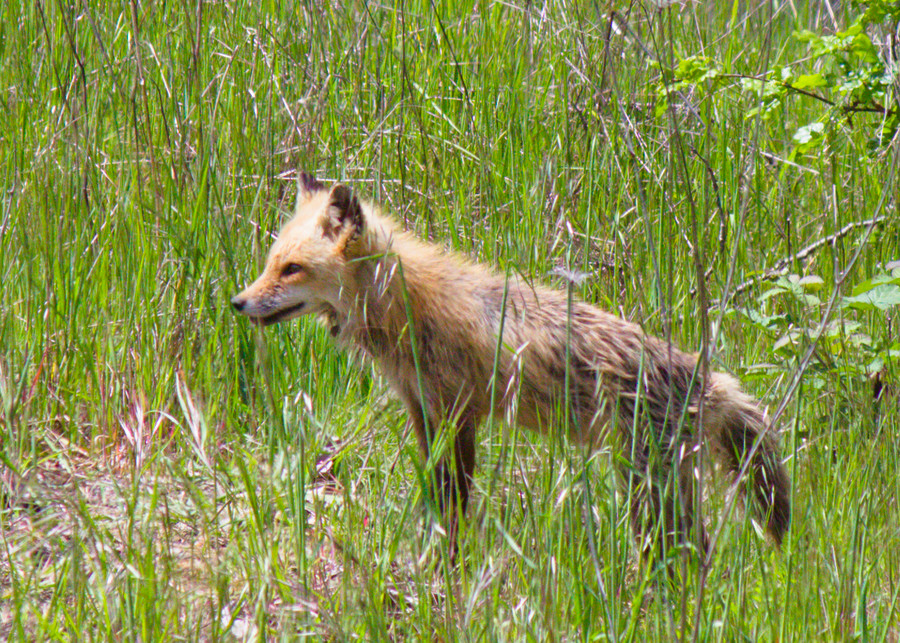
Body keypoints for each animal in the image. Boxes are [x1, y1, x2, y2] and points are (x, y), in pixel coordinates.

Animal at [231, 173, 791, 560]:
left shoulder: (456, 415)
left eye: (292, 269)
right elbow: (441, 502)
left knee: (689, 551)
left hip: (649, 482)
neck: (402, 304)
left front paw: (448, 566)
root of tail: (705, 377)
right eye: (270, 263)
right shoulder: (424, 412)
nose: (238, 303)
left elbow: (453, 504)